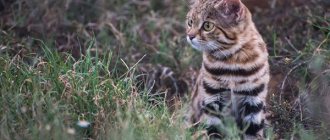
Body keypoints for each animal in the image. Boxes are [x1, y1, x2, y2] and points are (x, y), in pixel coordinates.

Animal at [184, 0, 270, 138]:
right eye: (190, 22)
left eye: (207, 26)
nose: (189, 36)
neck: (232, 62)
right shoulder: (212, 99)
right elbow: (213, 131)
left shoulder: (254, 101)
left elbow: (253, 134)